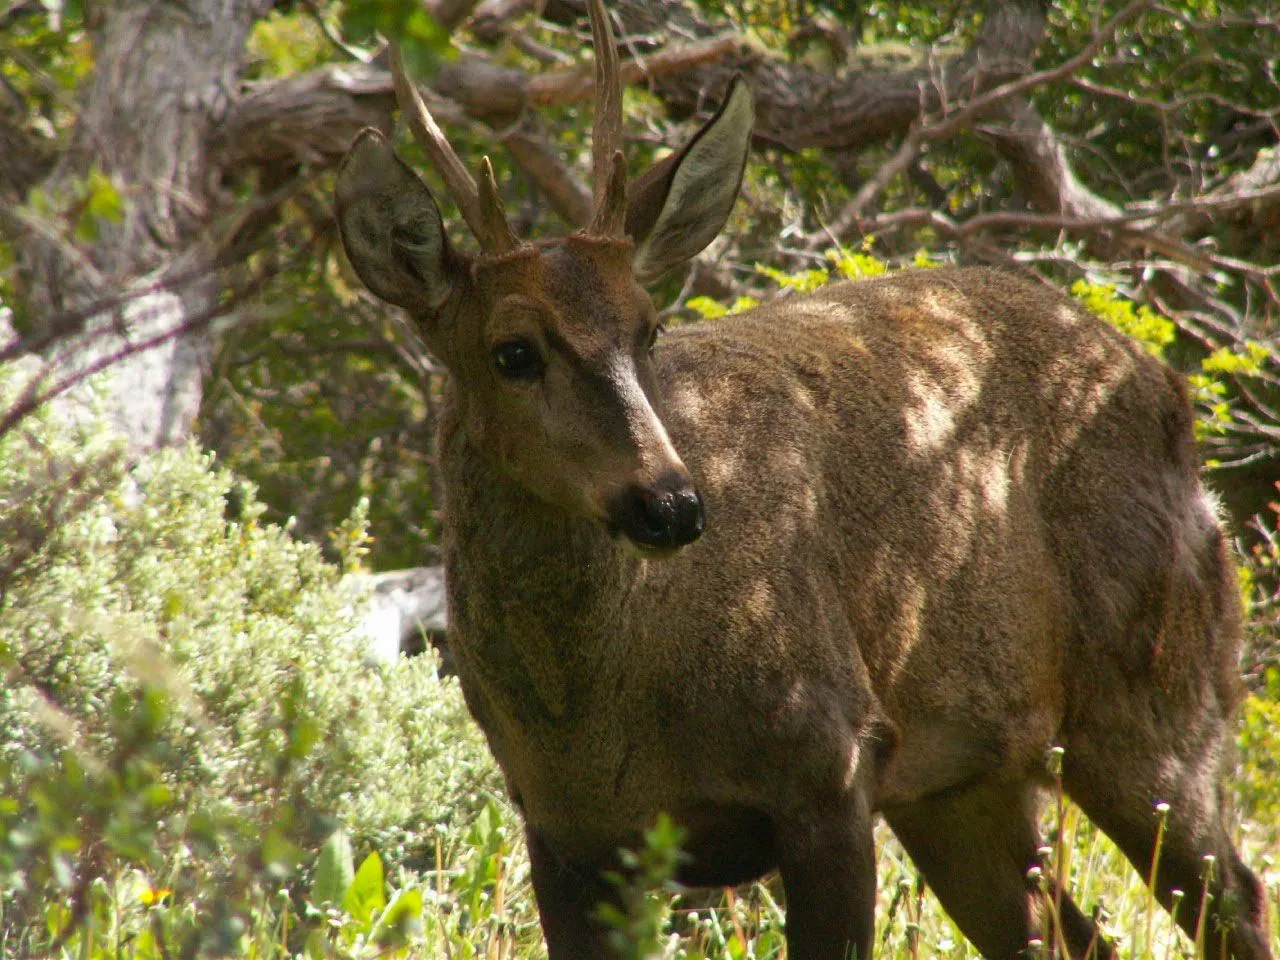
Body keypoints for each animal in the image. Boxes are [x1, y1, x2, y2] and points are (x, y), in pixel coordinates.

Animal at [335, 3, 1274, 957]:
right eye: (513, 350)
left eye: (650, 327)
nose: (672, 505)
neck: (595, 724)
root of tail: (1169, 390)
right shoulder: (565, 832)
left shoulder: (831, 761)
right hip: (962, 780)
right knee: (1067, 931)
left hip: (1158, 693)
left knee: (1236, 896)